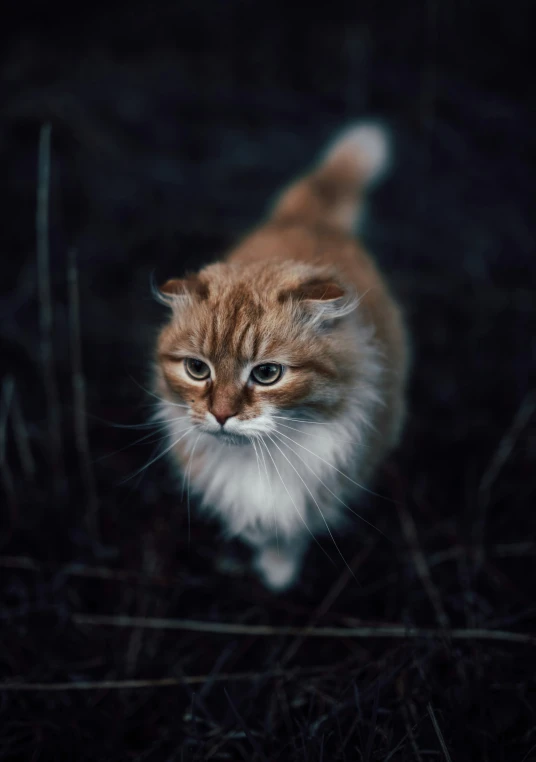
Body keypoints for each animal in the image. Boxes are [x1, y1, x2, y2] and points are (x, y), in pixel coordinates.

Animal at [153, 121, 408, 592]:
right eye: (197, 369)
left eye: (267, 374)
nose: (220, 415)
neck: (260, 458)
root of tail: (309, 220)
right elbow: (254, 523)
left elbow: (288, 533)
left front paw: (277, 573)